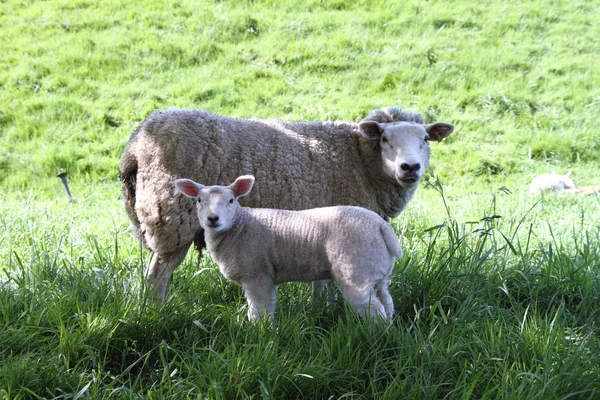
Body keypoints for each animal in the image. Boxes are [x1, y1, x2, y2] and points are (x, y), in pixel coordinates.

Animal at [119, 106, 452, 304]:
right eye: (384, 139)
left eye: (425, 139)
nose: (410, 167)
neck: (359, 159)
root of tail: (137, 142)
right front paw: (322, 309)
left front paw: (318, 310)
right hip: (171, 219)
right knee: (157, 277)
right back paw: (157, 313)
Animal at [173, 176, 404, 322]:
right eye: (199, 200)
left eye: (231, 200)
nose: (213, 219)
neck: (240, 226)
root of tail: (381, 226)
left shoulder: (257, 275)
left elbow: (259, 311)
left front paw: (259, 332)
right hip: (377, 272)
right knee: (388, 303)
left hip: (357, 271)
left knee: (374, 310)